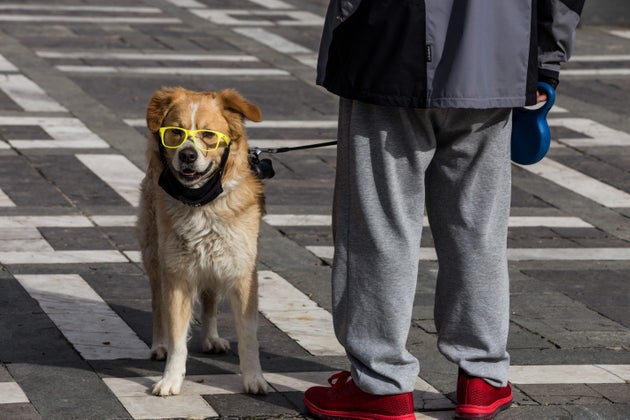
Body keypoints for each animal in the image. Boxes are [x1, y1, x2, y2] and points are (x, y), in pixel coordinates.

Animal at [138, 87, 270, 396]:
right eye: (175, 132)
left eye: (209, 135)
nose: (187, 155)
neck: (202, 203)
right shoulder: (176, 275)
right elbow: (177, 337)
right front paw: (171, 379)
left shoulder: (243, 273)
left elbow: (248, 336)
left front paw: (254, 378)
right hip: (155, 255)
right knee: (158, 303)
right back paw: (159, 344)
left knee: (210, 298)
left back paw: (211, 338)